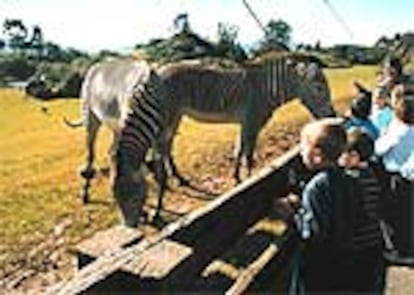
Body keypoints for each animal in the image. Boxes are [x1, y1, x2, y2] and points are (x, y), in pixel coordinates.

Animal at [156, 53, 336, 183]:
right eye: (319, 88)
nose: (333, 117)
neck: (266, 89)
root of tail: (159, 68)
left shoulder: (248, 122)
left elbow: (241, 149)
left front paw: (238, 176)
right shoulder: (252, 121)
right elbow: (247, 152)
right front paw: (246, 179)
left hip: (177, 115)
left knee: (166, 145)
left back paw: (178, 177)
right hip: (169, 115)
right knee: (164, 145)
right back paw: (174, 178)